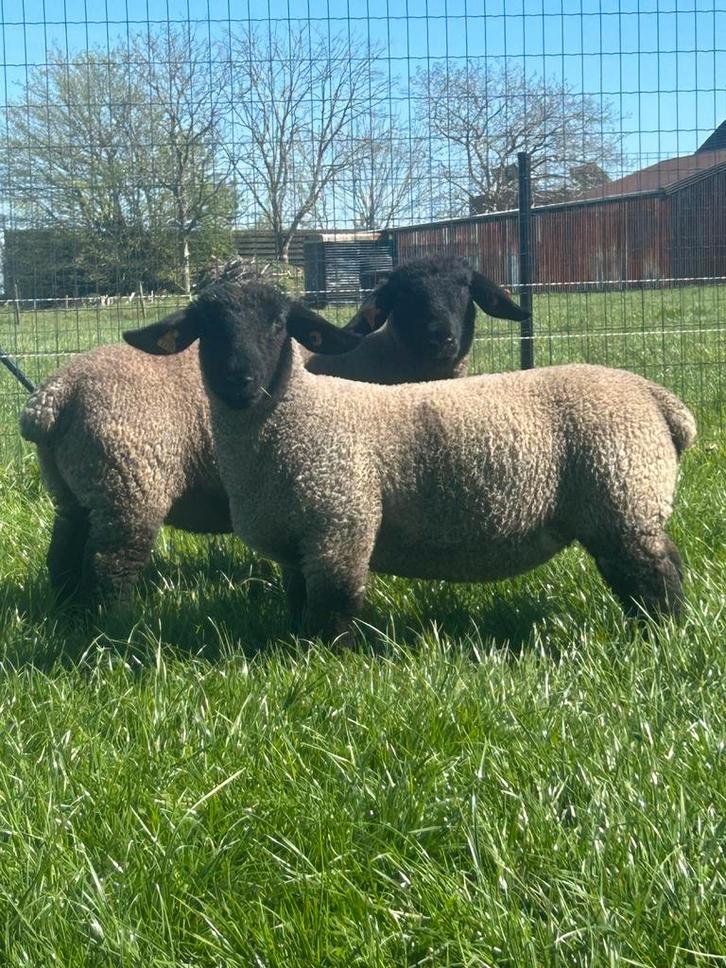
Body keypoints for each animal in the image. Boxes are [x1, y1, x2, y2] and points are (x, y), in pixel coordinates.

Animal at [19, 260, 524, 605]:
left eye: (465, 291)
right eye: (406, 297)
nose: (443, 339)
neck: (386, 362)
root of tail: (54, 395)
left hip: (76, 488)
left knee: (63, 555)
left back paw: (68, 616)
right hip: (129, 483)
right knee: (110, 564)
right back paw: (114, 630)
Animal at [124, 279, 696, 639]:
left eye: (278, 325)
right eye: (207, 328)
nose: (240, 380)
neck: (292, 415)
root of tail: (660, 400)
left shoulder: (341, 523)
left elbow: (334, 608)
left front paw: (322, 662)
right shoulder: (299, 538)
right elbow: (300, 602)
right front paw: (290, 646)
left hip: (622, 496)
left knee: (655, 574)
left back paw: (659, 636)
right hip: (624, 501)